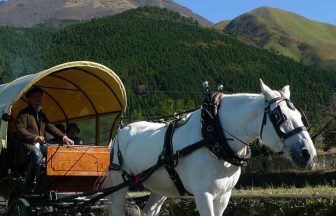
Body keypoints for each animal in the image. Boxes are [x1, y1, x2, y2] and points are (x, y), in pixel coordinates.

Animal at [104, 80, 316, 216]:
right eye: (279, 117)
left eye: (301, 116)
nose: (308, 154)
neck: (213, 136)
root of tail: (123, 129)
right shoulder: (203, 193)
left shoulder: (223, 195)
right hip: (119, 181)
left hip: (161, 185)